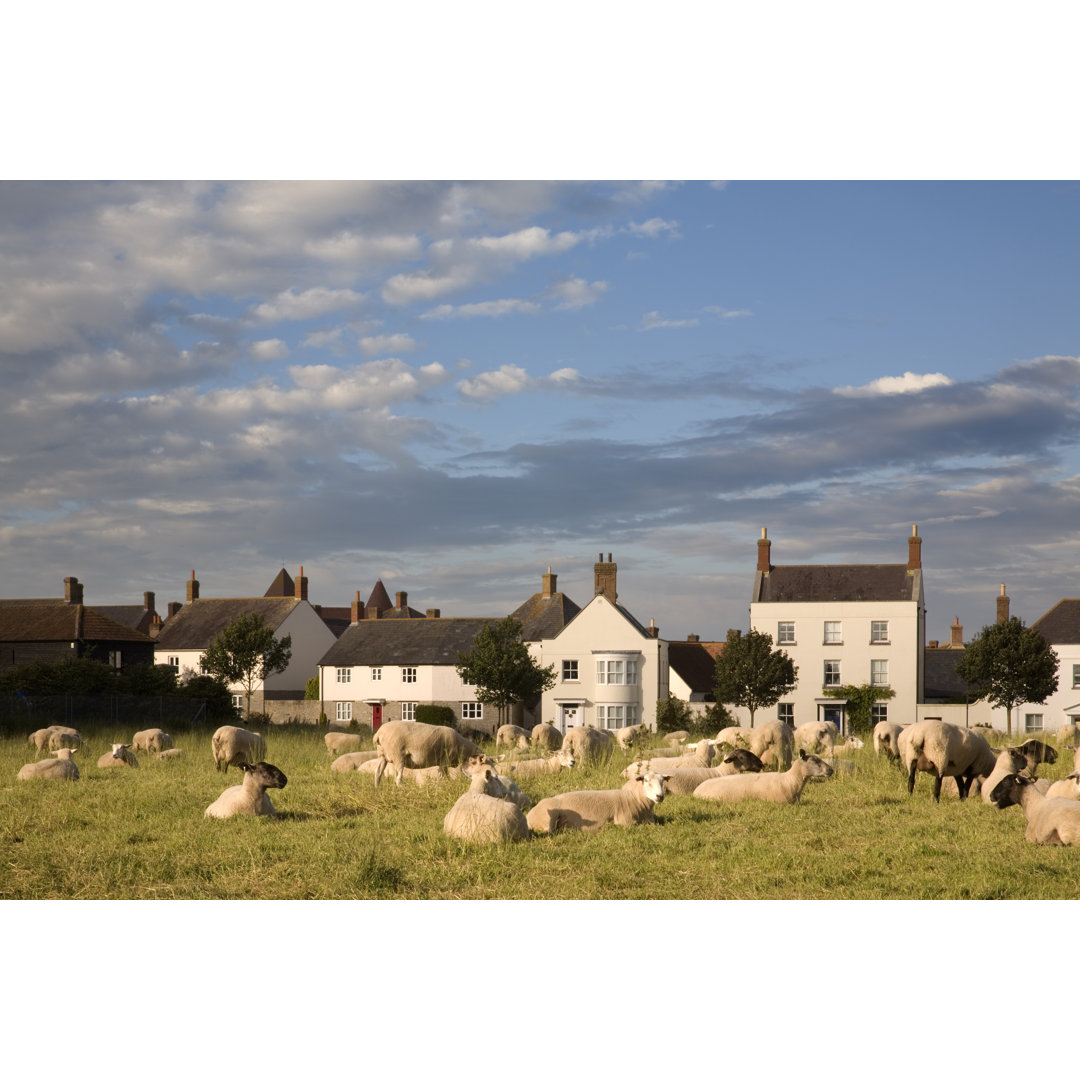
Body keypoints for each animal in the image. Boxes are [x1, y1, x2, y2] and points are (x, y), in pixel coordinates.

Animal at [522, 768, 665, 833]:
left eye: (663, 781)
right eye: (646, 780)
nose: (660, 796)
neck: (634, 798)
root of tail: (528, 816)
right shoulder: (625, 822)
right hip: (548, 820)